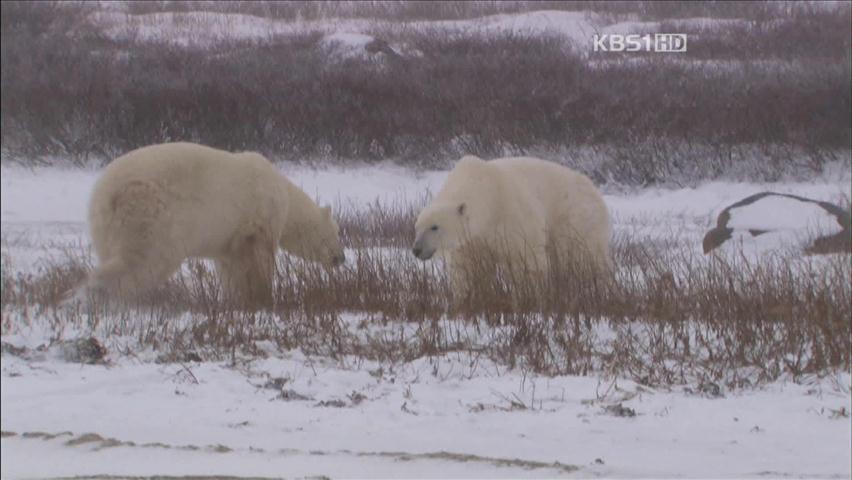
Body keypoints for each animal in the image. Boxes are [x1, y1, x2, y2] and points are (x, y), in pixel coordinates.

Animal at [76, 142, 346, 308]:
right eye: (337, 233)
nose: (340, 258)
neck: (285, 194)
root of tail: (106, 195)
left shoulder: (229, 238)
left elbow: (232, 266)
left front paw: (237, 299)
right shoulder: (259, 219)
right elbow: (258, 259)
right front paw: (263, 297)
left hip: (105, 225)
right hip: (150, 212)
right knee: (143, 259)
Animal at [412, 156, 612, 302]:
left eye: (434, 227)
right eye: (417, 227)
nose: (416, 249)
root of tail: (595, 191)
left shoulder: (512, 217)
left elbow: (527, 259)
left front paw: (529, 295)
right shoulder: (472, 241)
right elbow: (467, 269)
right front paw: (465, 299)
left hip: (574, 217)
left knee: (582, 256)